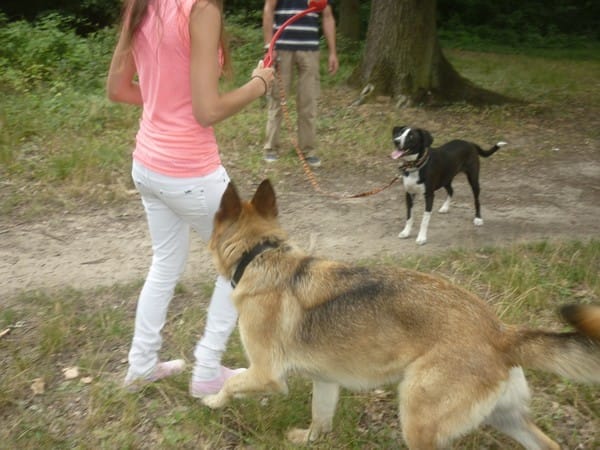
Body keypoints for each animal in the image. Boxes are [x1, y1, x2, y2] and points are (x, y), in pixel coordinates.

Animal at [201, 179, 600, 449]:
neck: (261, 254)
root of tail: (501, 333)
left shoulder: (266, 375)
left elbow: (231, 384)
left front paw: (212, 401)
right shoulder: (326, 381)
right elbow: (320, 420)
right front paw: (309, 439)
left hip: (418, 419)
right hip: (505, 417)